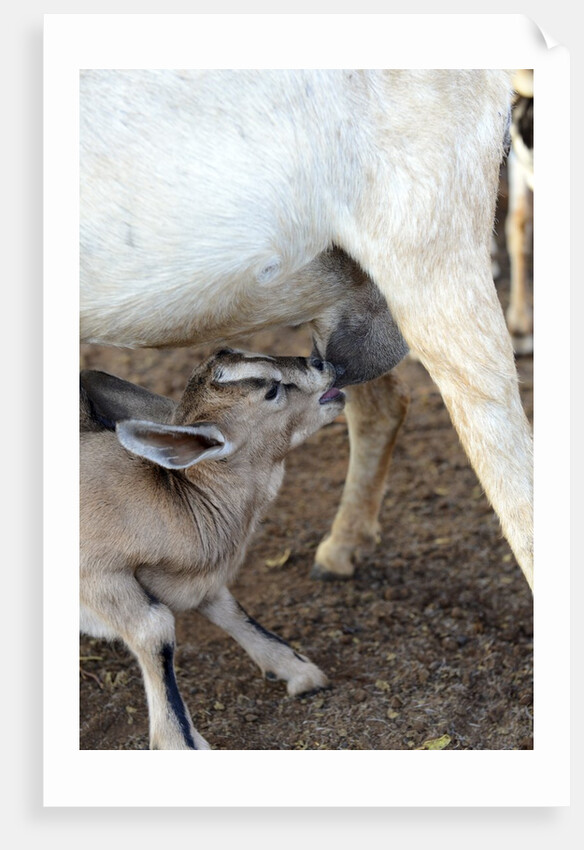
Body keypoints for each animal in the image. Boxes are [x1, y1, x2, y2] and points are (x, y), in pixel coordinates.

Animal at [80, 348, 345, 750]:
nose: (322, 363)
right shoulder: (98, 577)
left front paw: (297, 671)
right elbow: (153, 630)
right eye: (271, 391)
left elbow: (229, 609)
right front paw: (179, 742)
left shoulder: (196, 579)